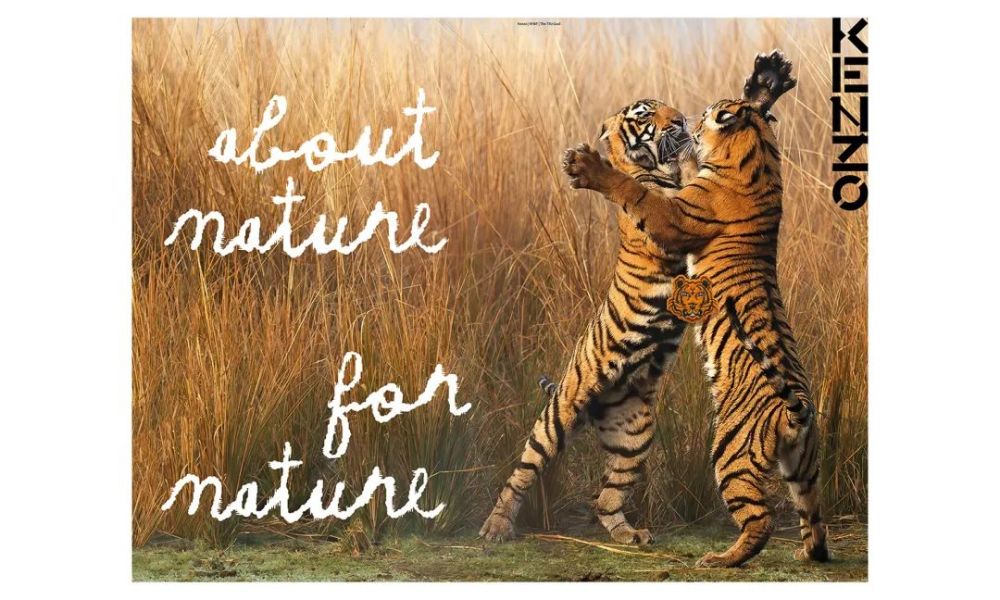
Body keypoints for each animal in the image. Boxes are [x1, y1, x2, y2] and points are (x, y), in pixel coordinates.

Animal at [560, 50, 829, 567]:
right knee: (813, 518)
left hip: (730, 452)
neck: (761, 159)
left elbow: (636, 192)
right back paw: (809, 555)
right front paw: (765, 85)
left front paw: (589, 166)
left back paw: (722, 559)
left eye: (703, 114)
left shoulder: (677, 214)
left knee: (760, 520)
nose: (687, 118)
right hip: (804, 468)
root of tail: (800, 410)